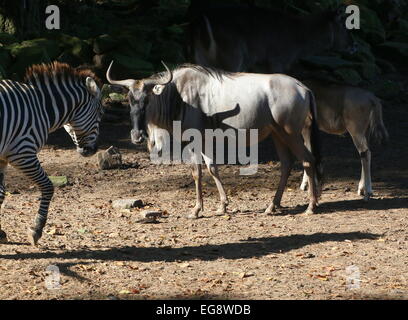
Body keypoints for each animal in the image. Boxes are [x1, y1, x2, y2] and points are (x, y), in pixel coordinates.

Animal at [0, 61, 103, 244]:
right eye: (100, 114)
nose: (93, 150)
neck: (41, 107)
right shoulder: (22, 153)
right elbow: (48, 186)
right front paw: (36, 229)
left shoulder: (3, 159)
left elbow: (0, 195)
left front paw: (0, 232)